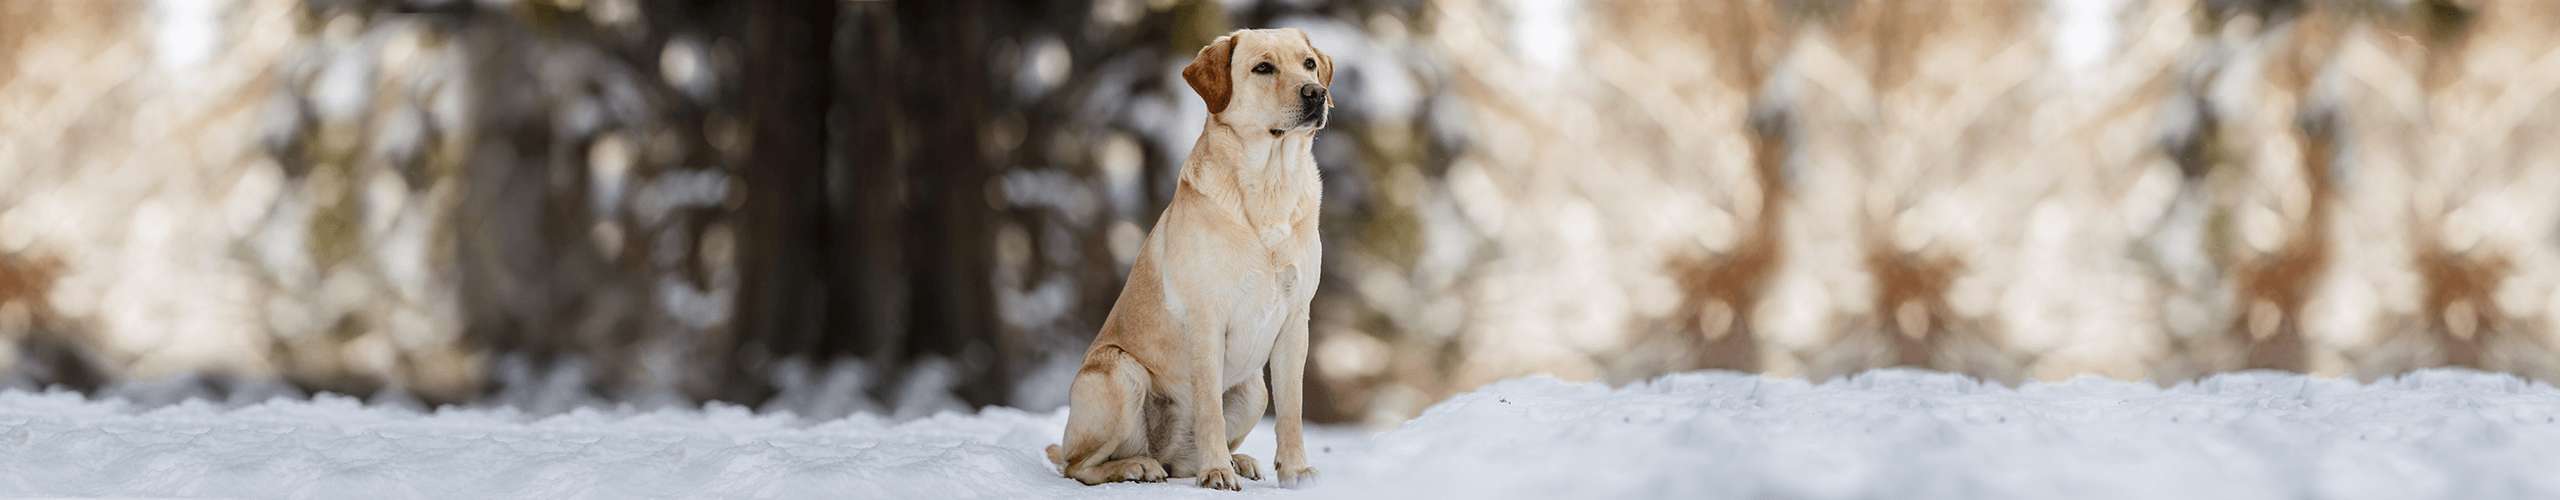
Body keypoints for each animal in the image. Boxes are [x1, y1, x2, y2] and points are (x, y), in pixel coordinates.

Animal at [1044, 28, 1341, 492]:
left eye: (1309, 63)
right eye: (1263, 67)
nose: (1316, 93)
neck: (1269, 188)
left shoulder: (1295, 320)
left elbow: (1292, 410)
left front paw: (1295, 472)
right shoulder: (1207, 320)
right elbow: (1209, 411)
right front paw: (1216, 471)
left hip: (1254, 391)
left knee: (1178, 462)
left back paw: (1237, 460)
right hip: (1119, 373)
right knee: (1079, 466)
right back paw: (1139, 467)